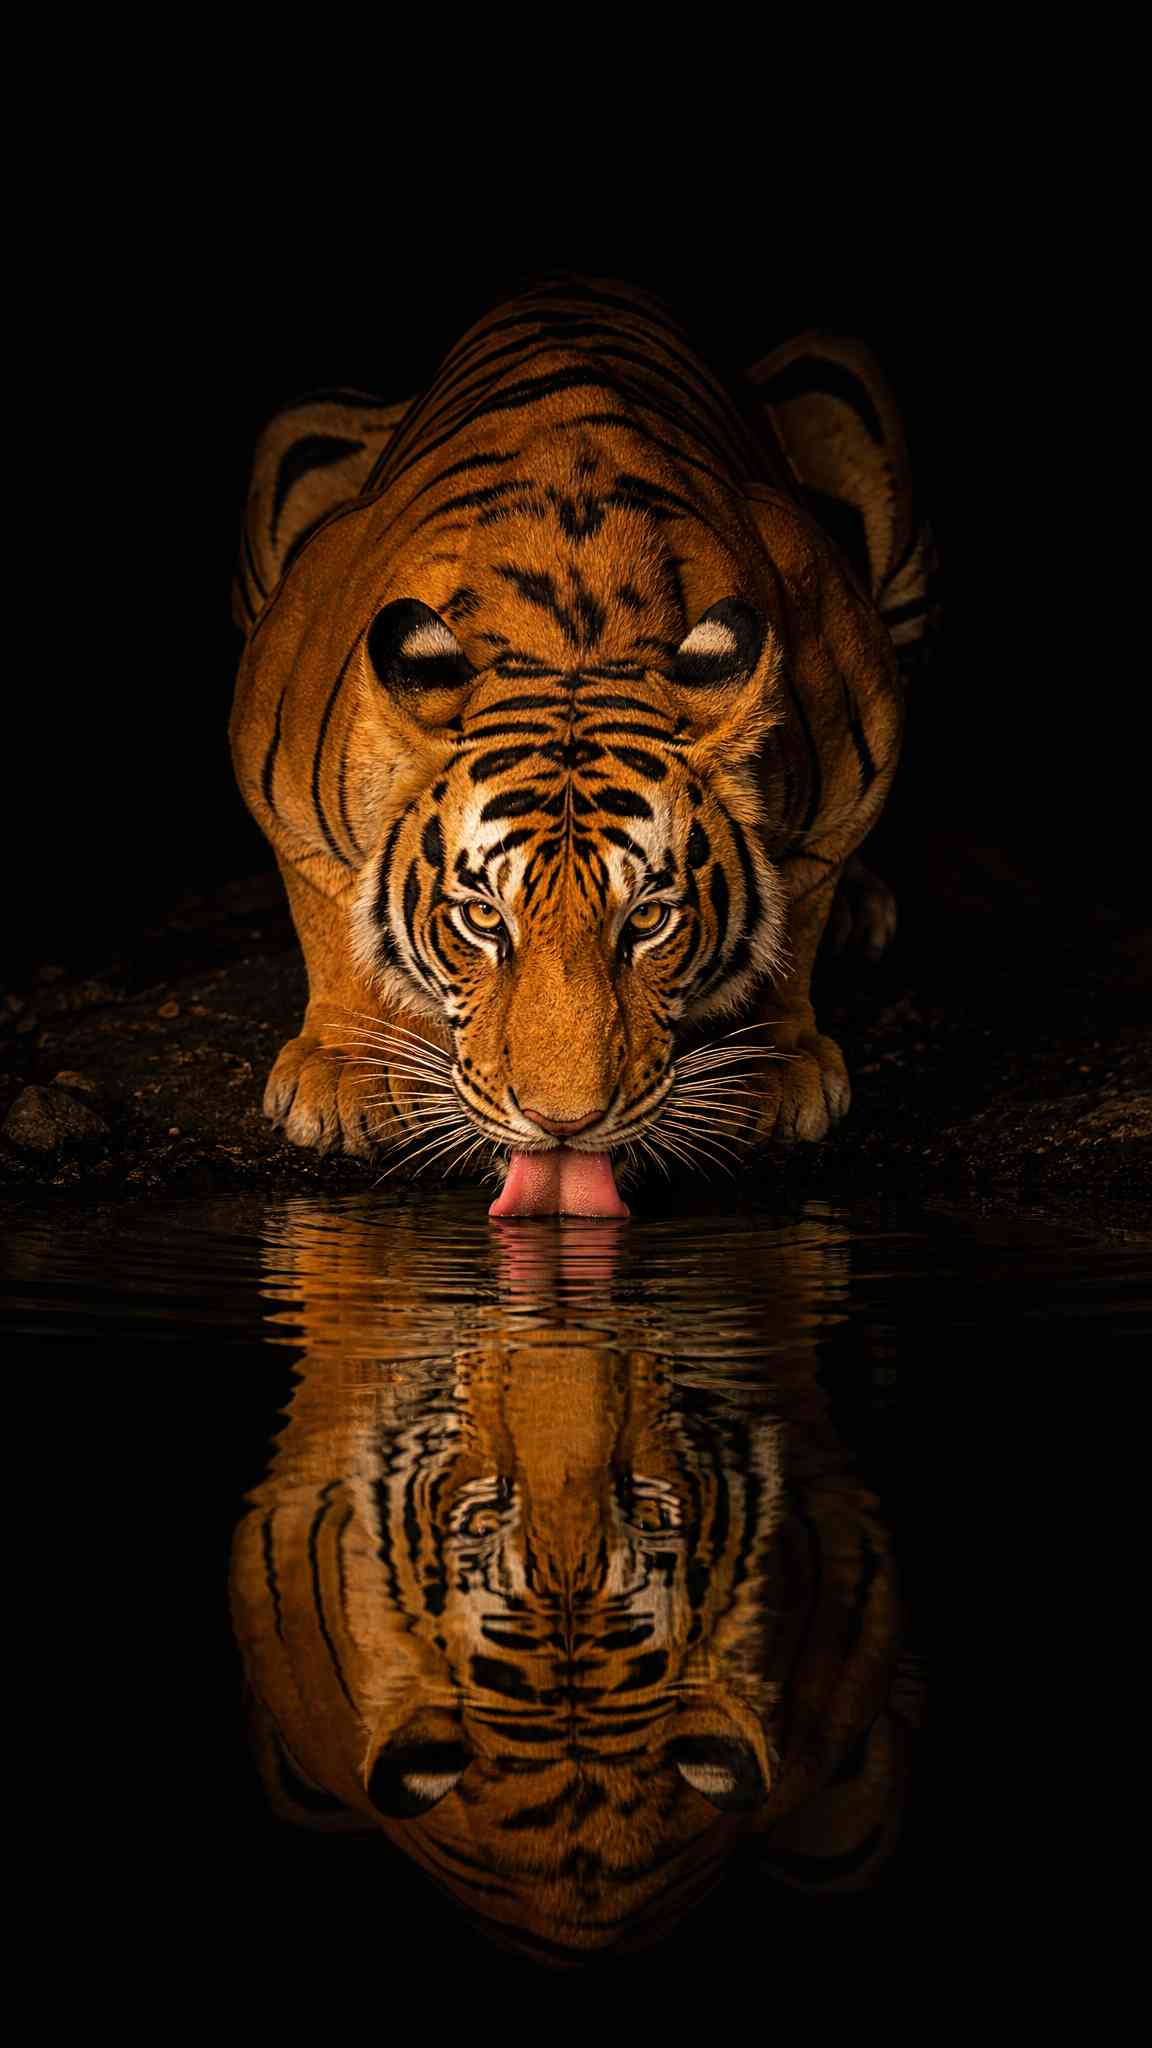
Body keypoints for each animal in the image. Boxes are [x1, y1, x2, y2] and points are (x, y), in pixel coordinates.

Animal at [230, 274, 936, 1212]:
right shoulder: (270, 753)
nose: (563, 1124)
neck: (572, 637)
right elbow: (326, 900)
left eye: (648, 919)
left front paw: (773, 1073)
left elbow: (800, 906)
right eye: (482, 919)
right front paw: (343, 1074)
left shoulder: (861, 733)